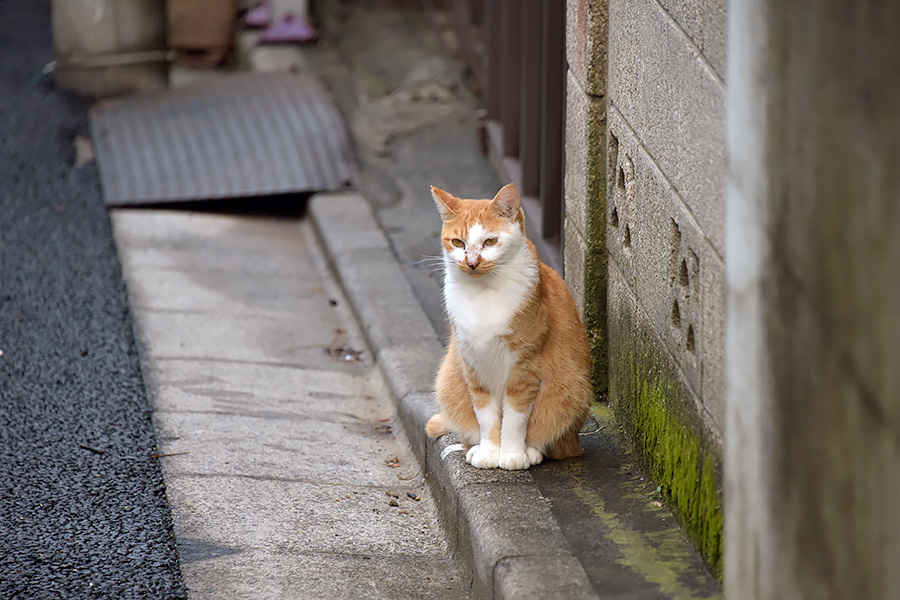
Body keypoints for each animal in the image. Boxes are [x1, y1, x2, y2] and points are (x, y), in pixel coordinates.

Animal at [426, 183, 596, 468]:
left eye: (490, 241)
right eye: (458, 242)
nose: (472, 263)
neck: (484, 293)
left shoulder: (525, 368)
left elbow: (515, 418)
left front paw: (513, 453)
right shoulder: (473, 367)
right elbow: (485, 415)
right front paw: (489, 451)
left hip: (572, 390)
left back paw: (532, 451)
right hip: (450, 379)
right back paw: (473, 447)